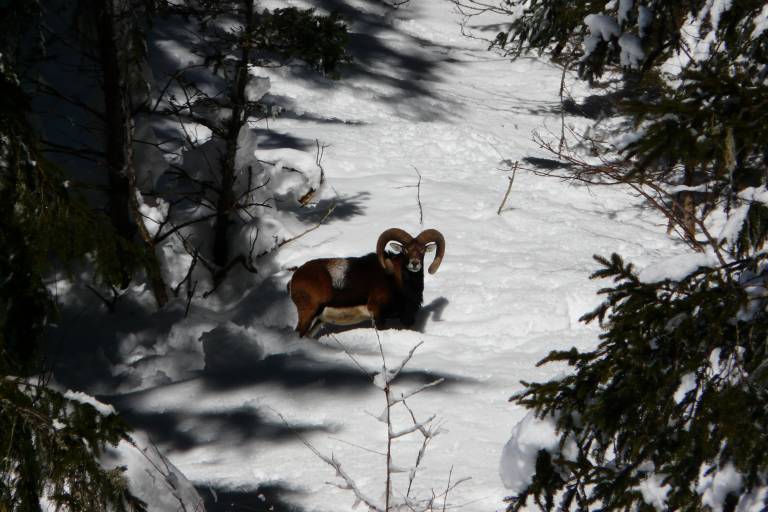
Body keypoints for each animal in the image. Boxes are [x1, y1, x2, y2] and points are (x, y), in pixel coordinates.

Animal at [289, 228, 446, 337]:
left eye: (422, 250)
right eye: (405, 250)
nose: (414, 263)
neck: (399, 283)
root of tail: (294, 279)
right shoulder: (377, 312)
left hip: (318, 319)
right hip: (308, 313)